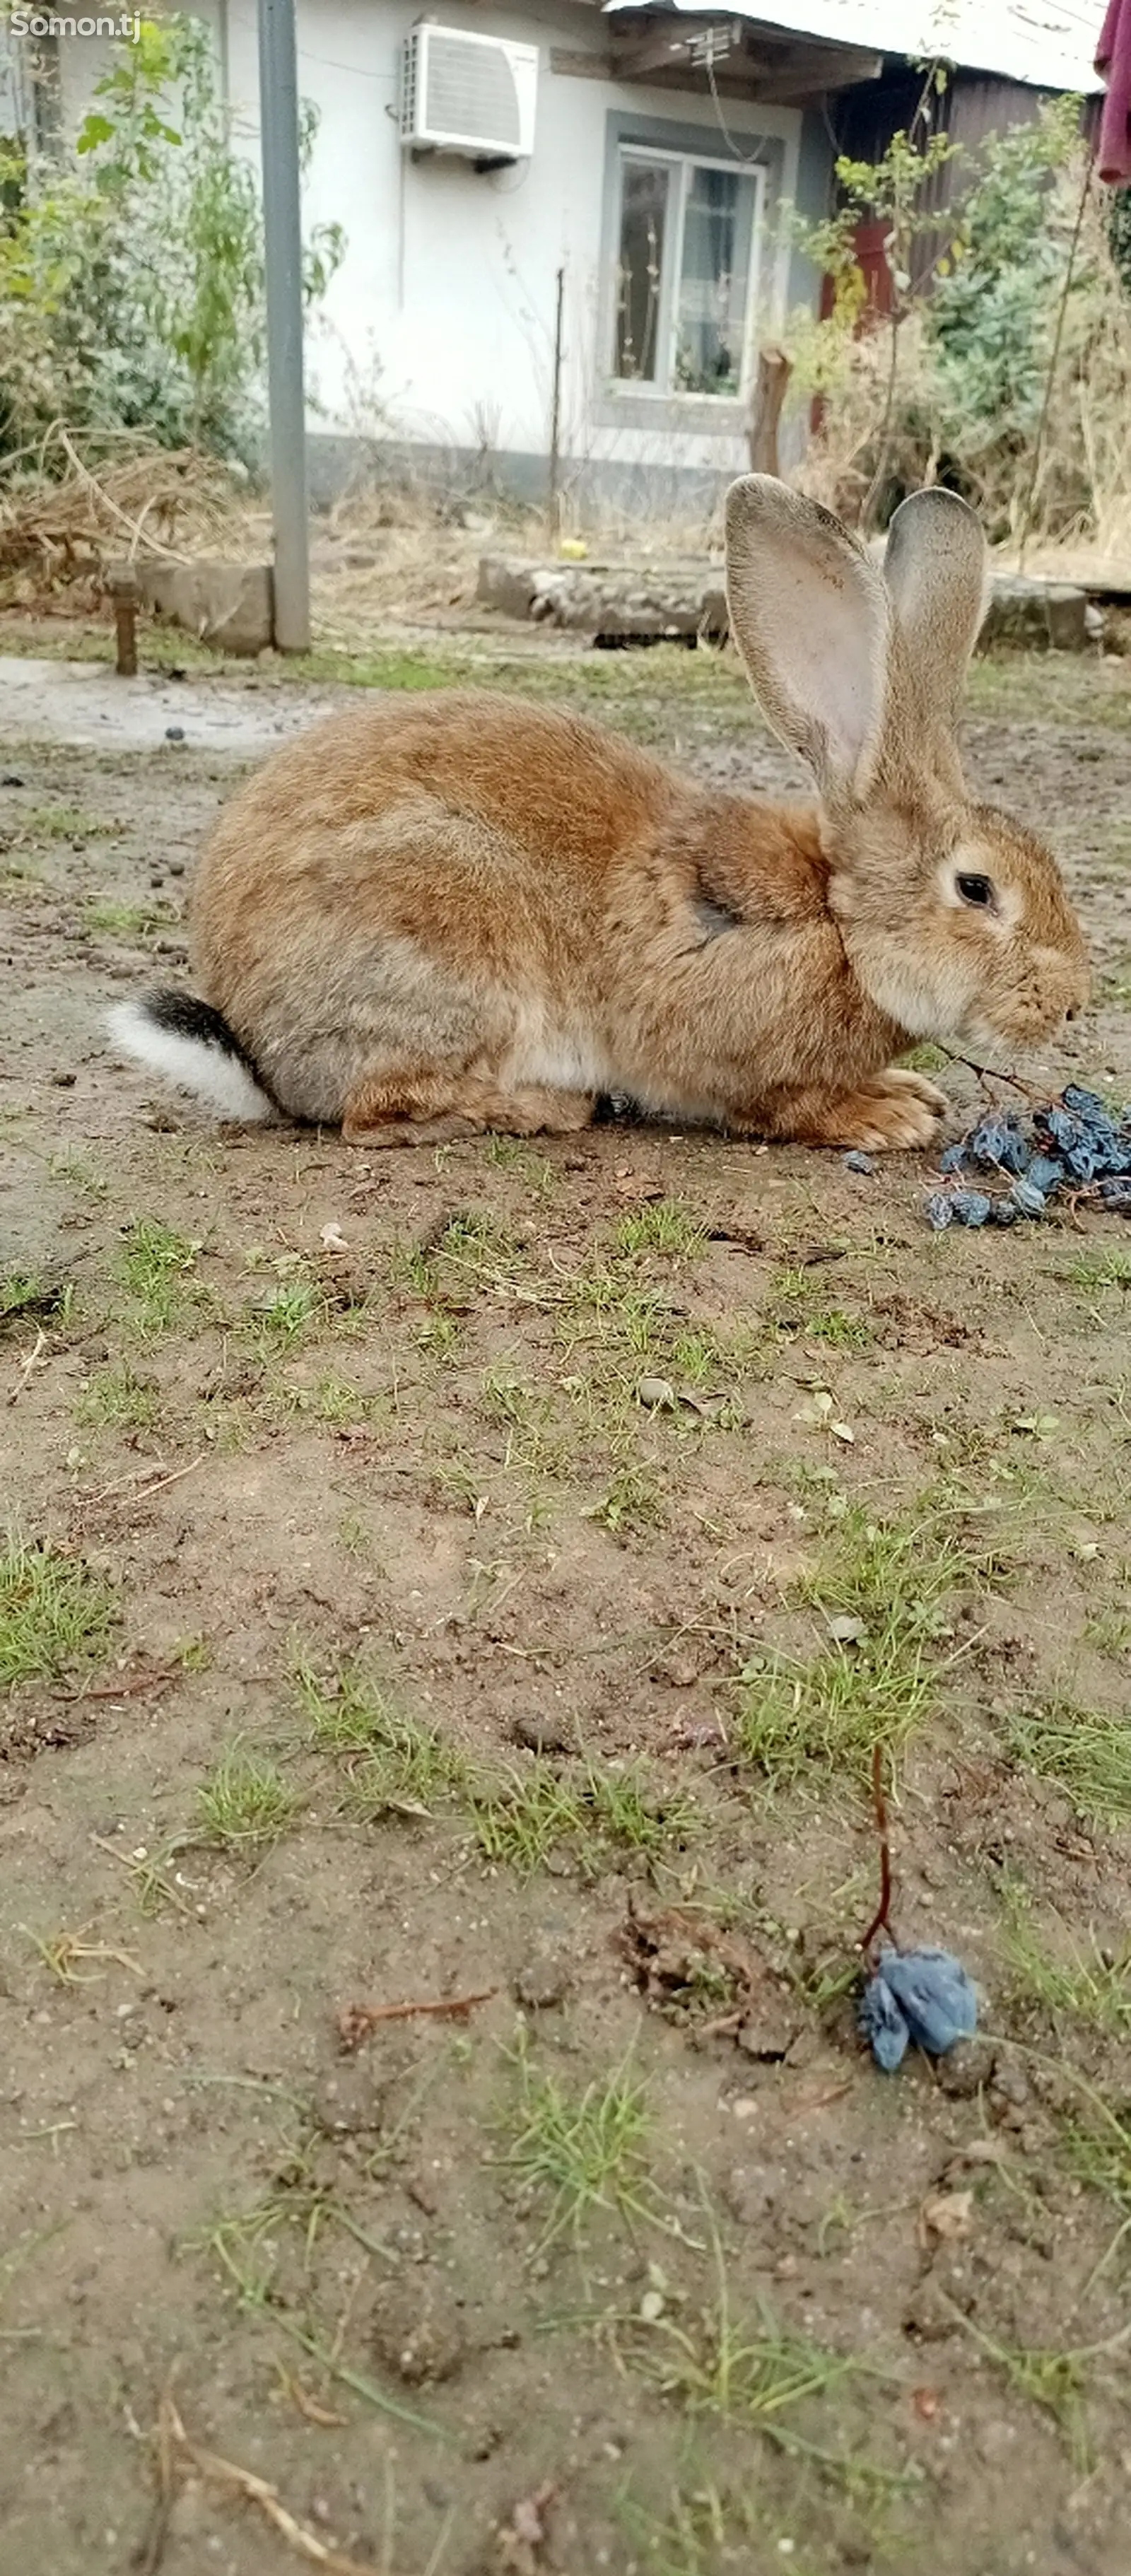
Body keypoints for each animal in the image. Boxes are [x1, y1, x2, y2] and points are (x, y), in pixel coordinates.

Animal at [112, 476, 1087, 1159]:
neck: (841, 921)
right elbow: (781, 1105)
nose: (1072, 1004)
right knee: (375, 1110)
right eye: (975, 888)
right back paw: (545, 1107)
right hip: (449, 943)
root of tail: (256, 1048)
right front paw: (887, 1114)